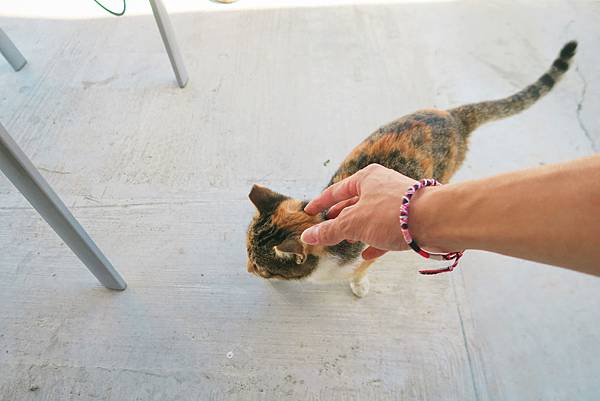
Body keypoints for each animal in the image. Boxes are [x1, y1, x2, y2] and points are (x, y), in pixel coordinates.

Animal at [245, 41, 576, 296]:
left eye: (261, 266)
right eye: (247, 253)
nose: (248, 269)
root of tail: (453, 116)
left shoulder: (373, 246)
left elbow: (363, 265)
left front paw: (359, 284)